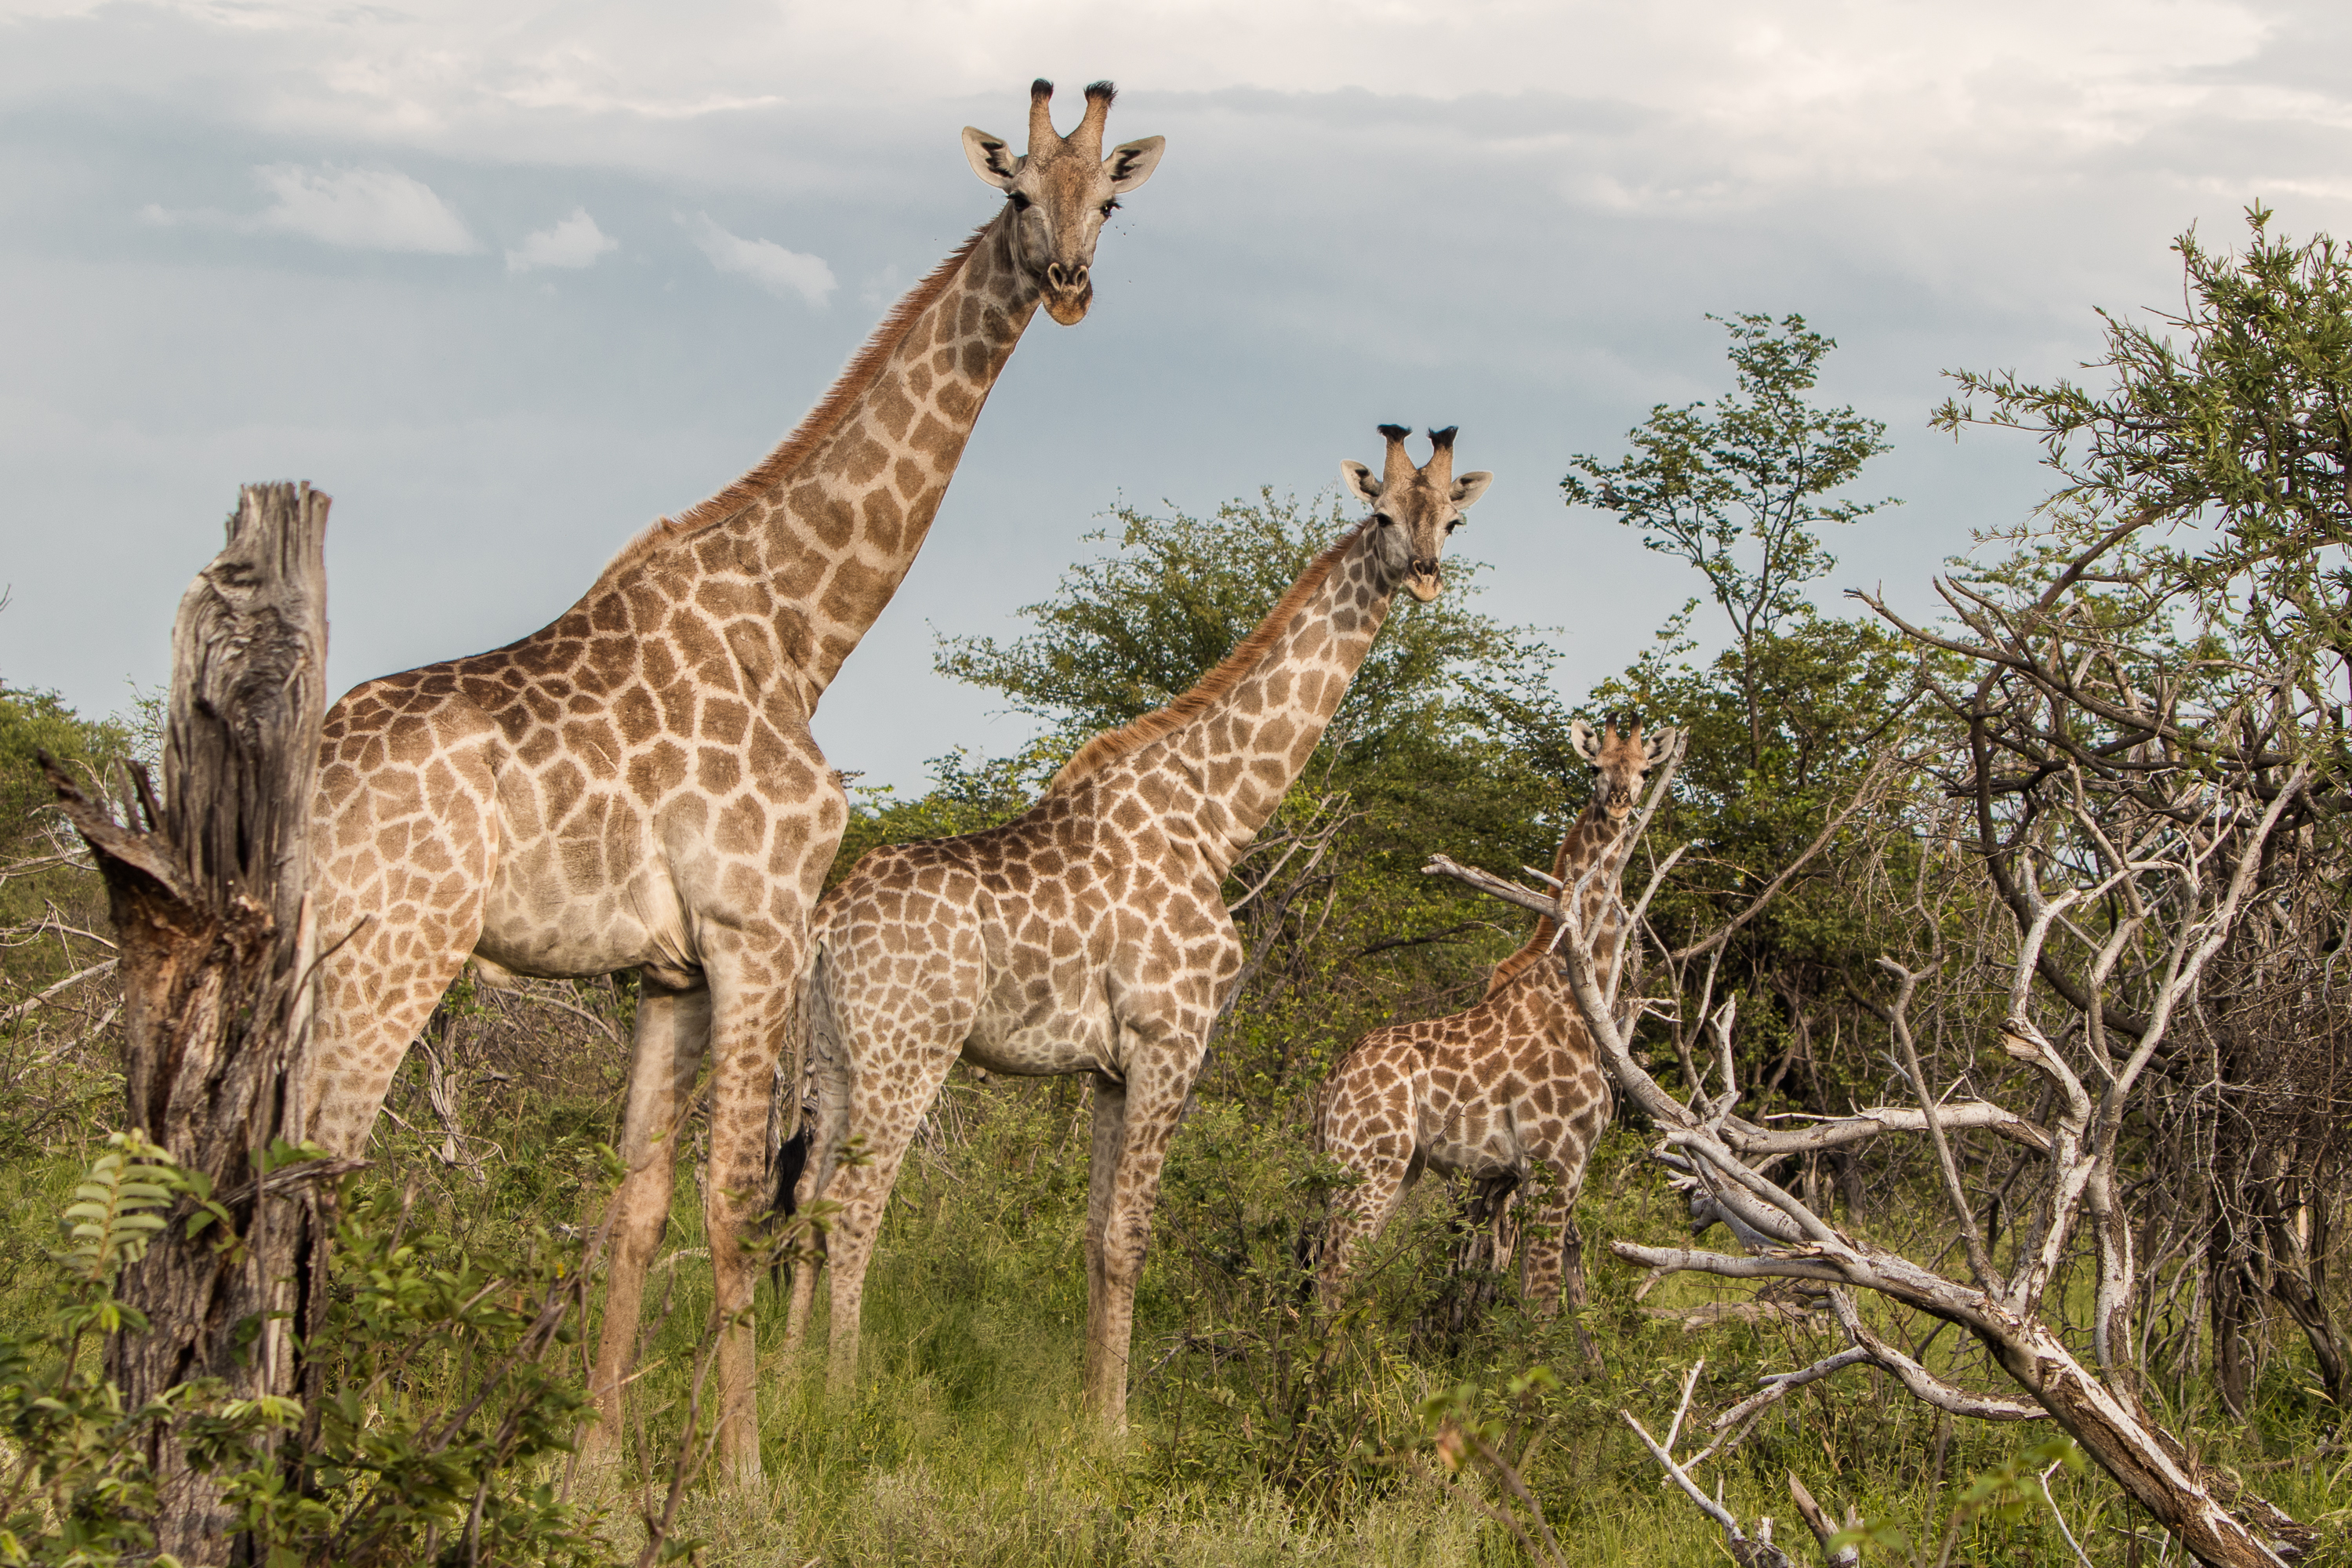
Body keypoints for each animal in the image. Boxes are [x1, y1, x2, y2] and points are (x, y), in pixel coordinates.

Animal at [298, 79, 1165, 1480]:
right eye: (1020, 192)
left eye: (1113, 202)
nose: (1071, 282)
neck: (799, 628)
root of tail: (307, 780)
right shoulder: (760, 929)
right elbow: (737, 1201)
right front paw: (745, 1475)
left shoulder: (670, 971)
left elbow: (640, 1201)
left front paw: (597, 1465)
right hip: (395, 947)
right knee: (318, 1158)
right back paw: (294, 1443)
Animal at [783, 426, 1492, 1424]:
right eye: (1385, 515)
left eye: (1451, 521)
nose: (1425, 575)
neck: (1215, 818)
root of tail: (829, 921)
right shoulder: (1172, 1040)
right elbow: (1132, 1236)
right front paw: (1116, 1428)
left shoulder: (1109, 1069)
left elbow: (1092, 1234)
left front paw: (1088, 1410)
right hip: (909, 1050)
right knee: (855, 1206)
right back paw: (844, 1397)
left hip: (831, 1051)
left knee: (807, 1200)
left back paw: (780, 1377)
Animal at [1312, 717, 1677, 1317]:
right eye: (1594, 767)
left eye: (1645, 770)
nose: (1620, 801)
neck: (1573, 997)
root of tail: (1330, 1084)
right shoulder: (1553, 1164)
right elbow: (1541, 1303)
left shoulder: (1548, 1173)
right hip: (1371, 1161)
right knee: (1332, 1277)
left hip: (1396, 1168)